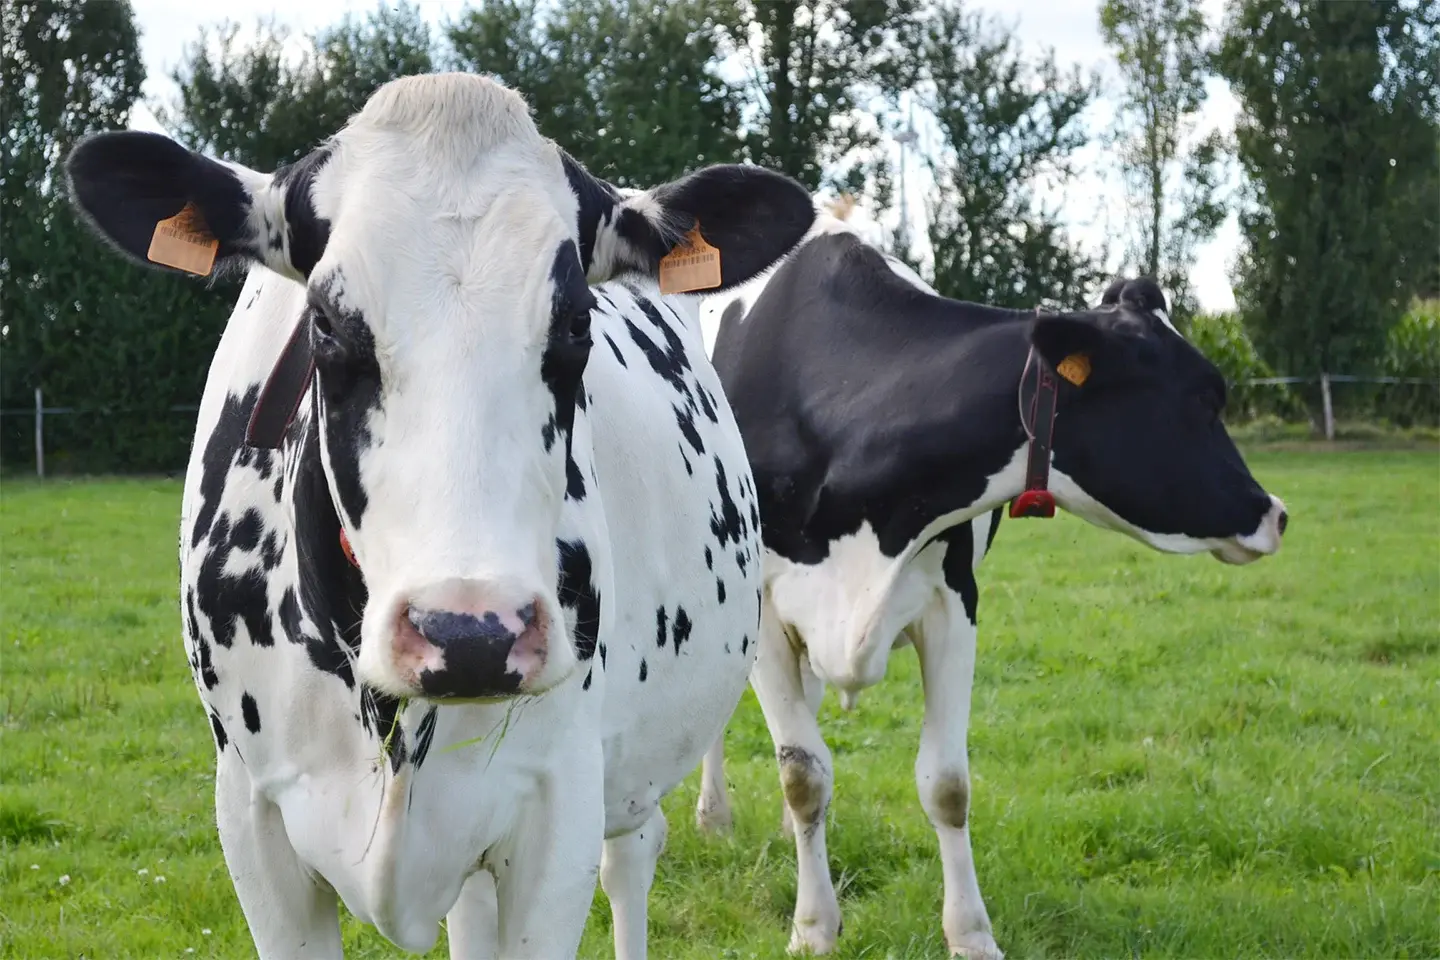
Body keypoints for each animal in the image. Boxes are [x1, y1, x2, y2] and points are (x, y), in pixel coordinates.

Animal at [64, 73, 817, 959]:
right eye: (324, 322)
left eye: (577, 323)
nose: (471, 633)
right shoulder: (252, 815)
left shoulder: (557, 808)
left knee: (631, 858)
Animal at [691, 214, 1289, 958]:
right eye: (1206, 399)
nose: (1275, 513)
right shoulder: (767, 612)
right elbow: (803, 773)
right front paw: (812, 927)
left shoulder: (954, 602)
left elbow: (946, 785)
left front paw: (971, 934)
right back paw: (714, 816)